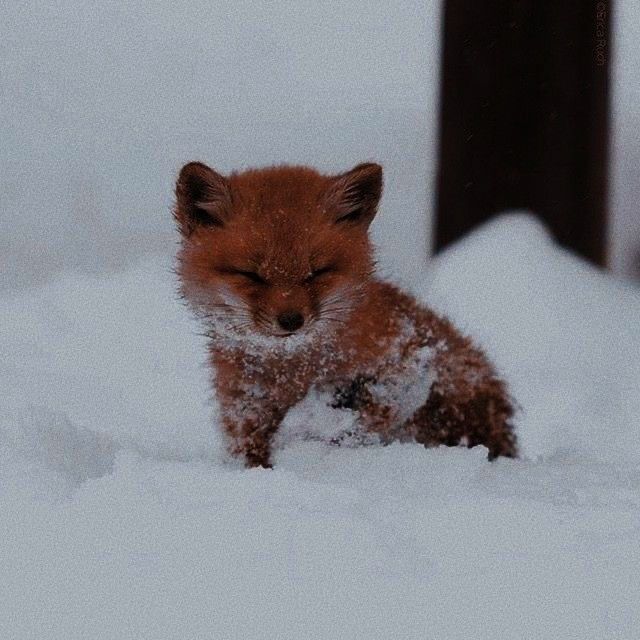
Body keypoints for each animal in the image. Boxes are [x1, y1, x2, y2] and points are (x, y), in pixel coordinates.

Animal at [172, 162, 516, 468]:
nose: (291, 320)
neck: (293, 373)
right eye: (251, 275)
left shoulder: (409, 361)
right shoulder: (245, 414)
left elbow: (370, 416)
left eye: (317, 272)